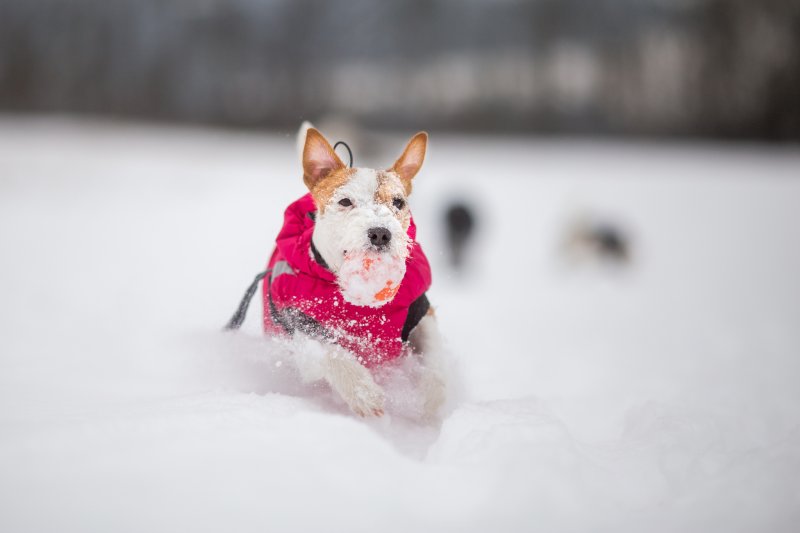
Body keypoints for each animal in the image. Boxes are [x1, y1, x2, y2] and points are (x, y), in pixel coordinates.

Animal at [256, 122, 444, 418]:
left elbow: (435, 360)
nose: (380, 233)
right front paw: (363, 392)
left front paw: (431, 401)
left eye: (398, 202)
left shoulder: (421, 313)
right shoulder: (301, 326)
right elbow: (331, 353)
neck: (364, 300)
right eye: (345, 202)